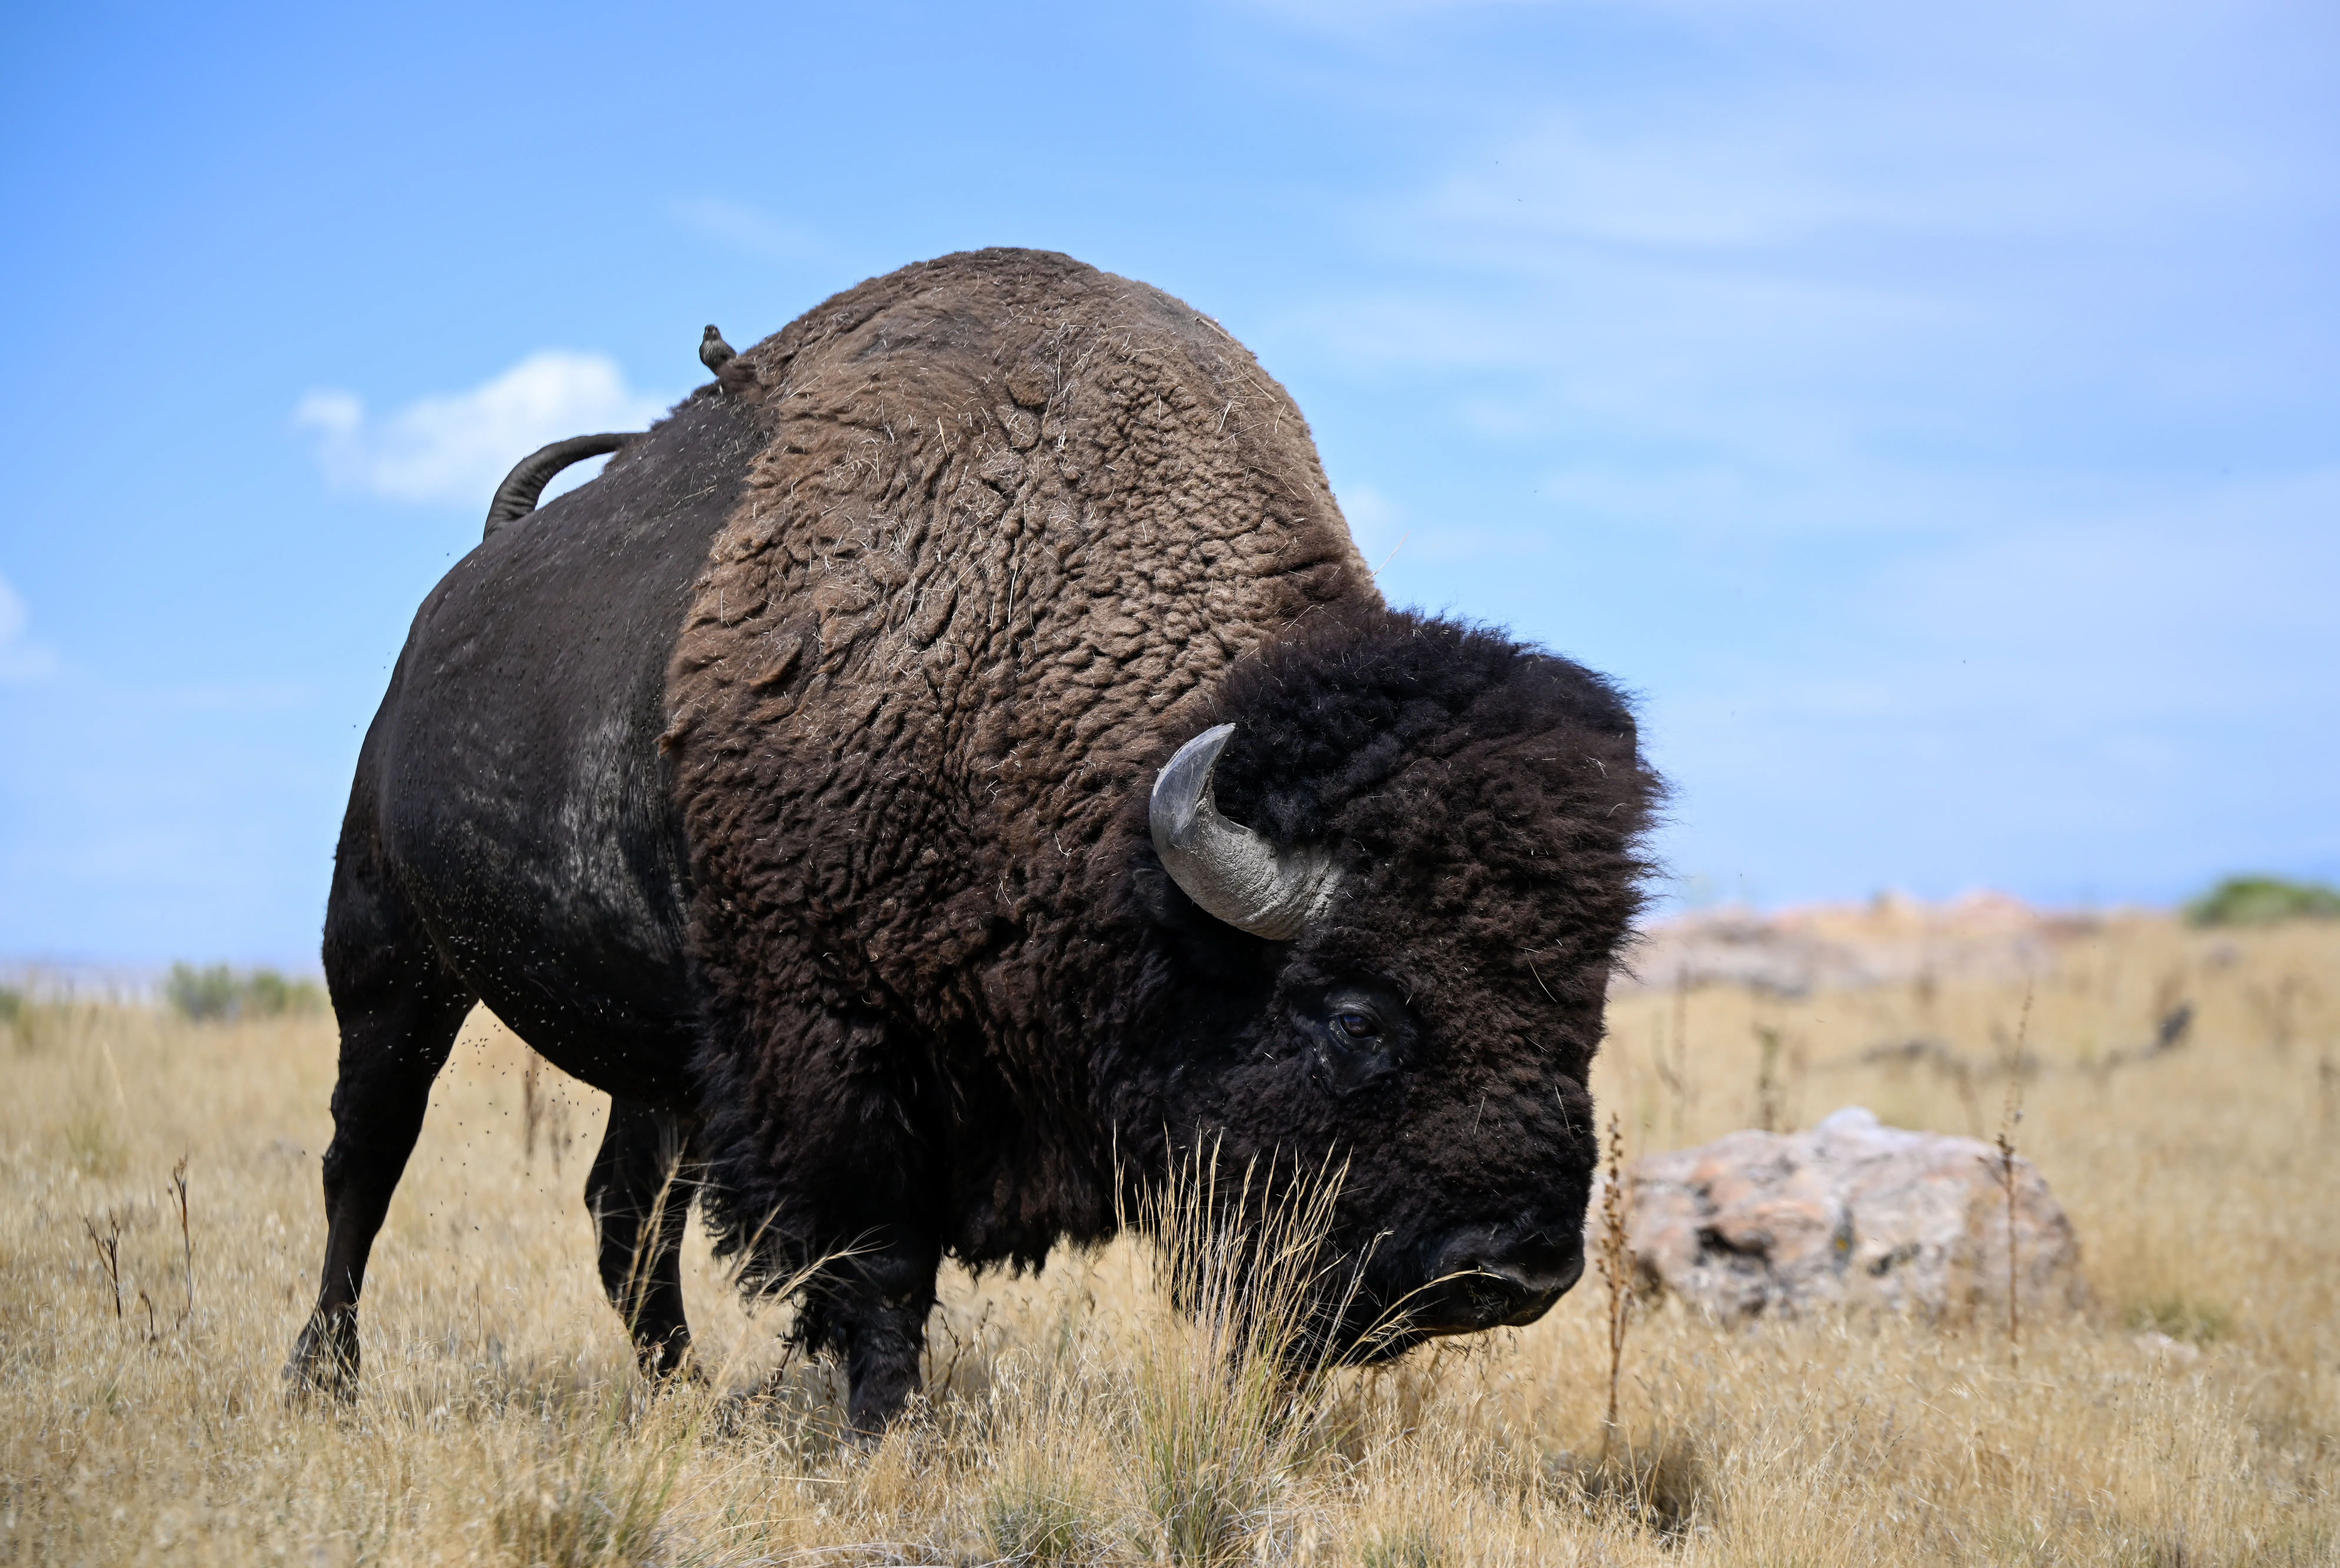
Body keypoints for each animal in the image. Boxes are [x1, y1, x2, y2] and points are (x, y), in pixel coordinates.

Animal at [288, 248, 1658, 1430]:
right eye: (1358, 1017)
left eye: (1585, 1010)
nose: (1513, 1273)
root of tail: (456, 596)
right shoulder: (834, 1053)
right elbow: (880, 1269)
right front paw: (877, 1431)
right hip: (391, 953)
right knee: (367, 1151)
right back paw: (325, 1378)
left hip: (658, 1054)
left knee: (626, 1210)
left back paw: (679, 1395)